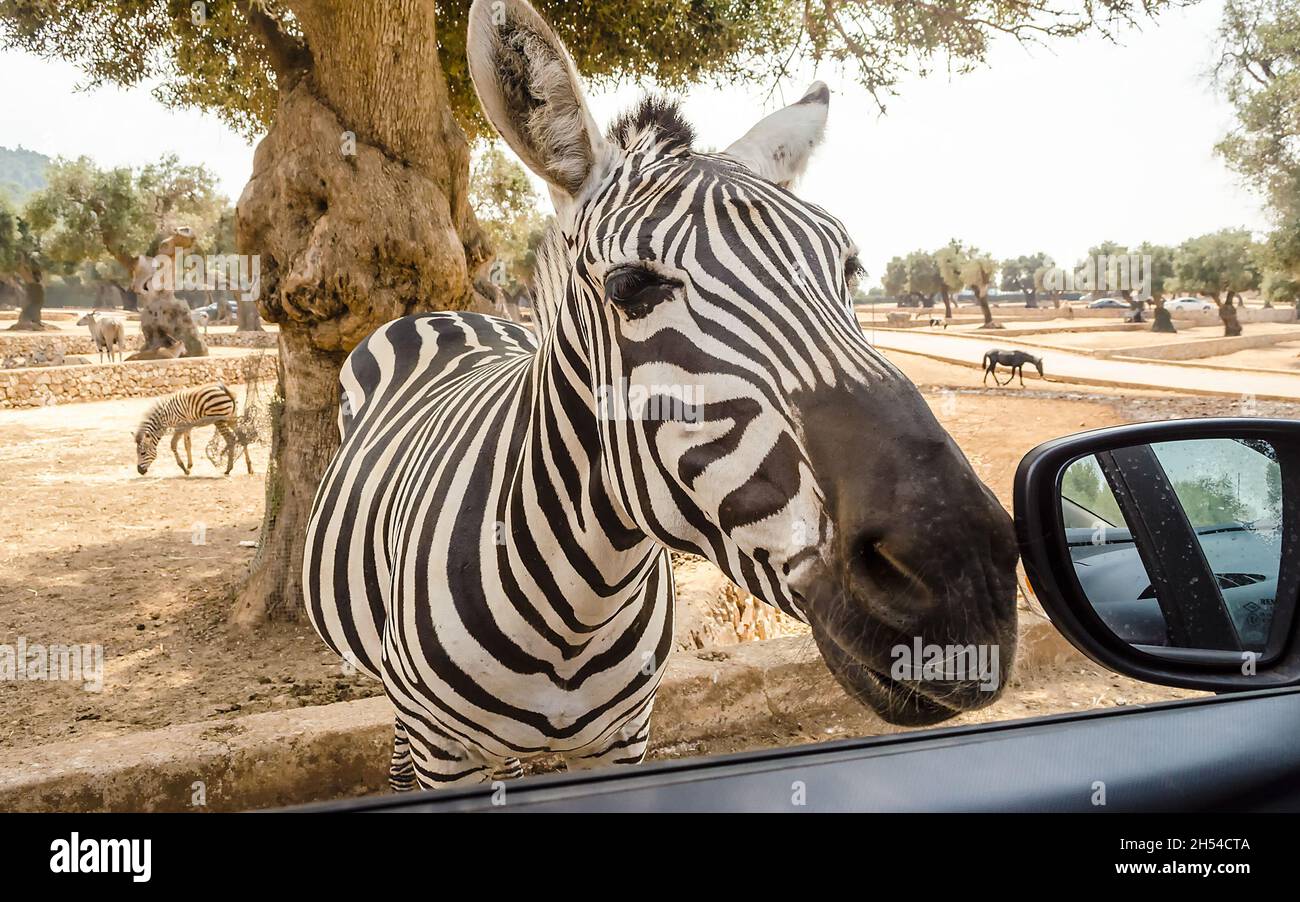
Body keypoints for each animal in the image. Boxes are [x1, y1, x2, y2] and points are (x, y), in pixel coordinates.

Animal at [299, 0, 1019, 790]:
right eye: (629, 287)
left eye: (851, 269)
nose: (967, 580)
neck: (581, 608)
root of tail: (441, 314)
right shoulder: (445, 753)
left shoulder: (624, 739)